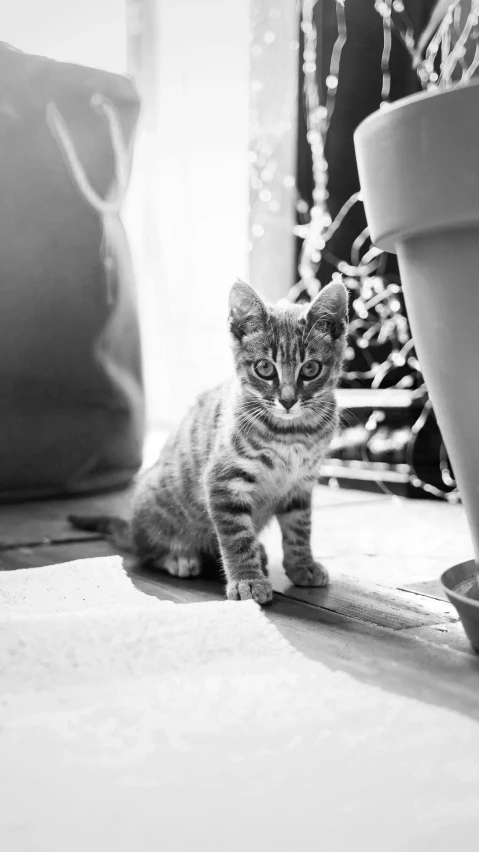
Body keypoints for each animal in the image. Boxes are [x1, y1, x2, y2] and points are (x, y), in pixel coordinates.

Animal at [70, 280, 348, 604]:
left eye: (311, 369)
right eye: (265, 368)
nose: (288, 400)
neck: (292, 432)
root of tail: (132, 528)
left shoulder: (300, 484)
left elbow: (299, 528)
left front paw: (302, 565)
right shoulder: (223, 481)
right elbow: (236, 537)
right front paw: (247, 581)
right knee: (146, 551)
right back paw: (178, 557)